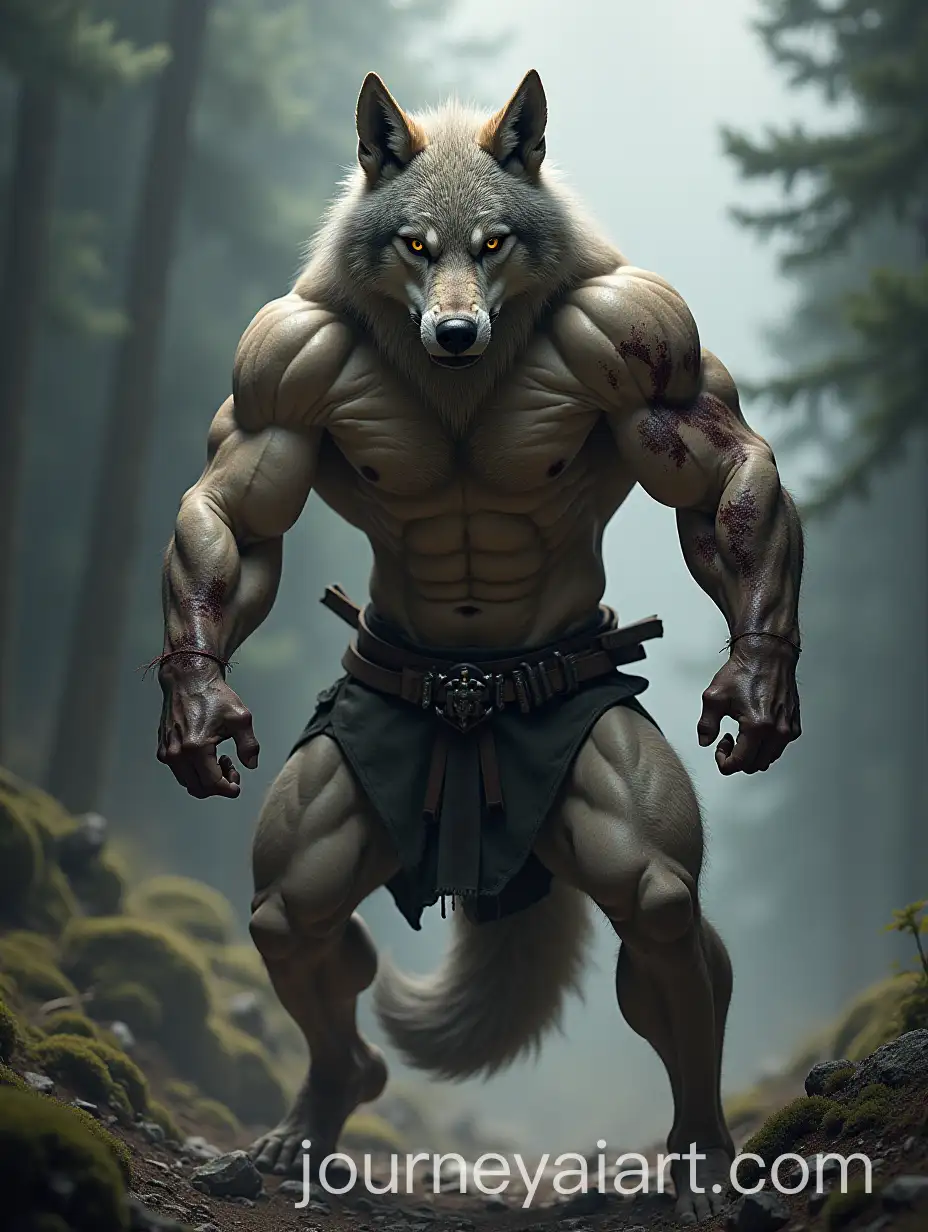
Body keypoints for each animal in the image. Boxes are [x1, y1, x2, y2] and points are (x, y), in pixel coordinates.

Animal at [156, 69, 803, 1224]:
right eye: (415, 245)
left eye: (494, 242)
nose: (455, 330)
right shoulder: (277, 361)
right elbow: (233, 517)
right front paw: (197, 707)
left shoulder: (648, 336)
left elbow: (725, 477)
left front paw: (758, 677)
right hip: (335, 819)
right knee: (298, 925)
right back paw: (313, 1118)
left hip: (608, 809)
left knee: (662, 916)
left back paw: (701, 1156)